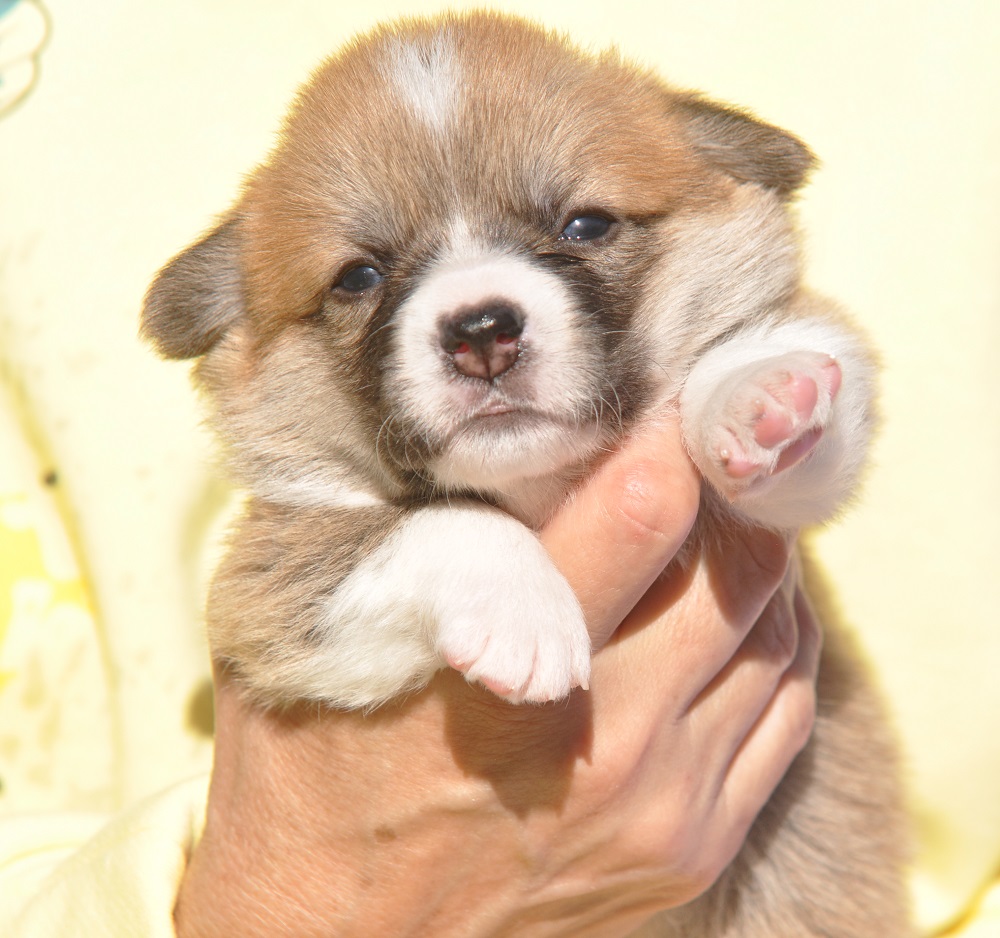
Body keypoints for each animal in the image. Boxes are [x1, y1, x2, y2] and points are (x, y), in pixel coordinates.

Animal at [141, 11, 916, 932]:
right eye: (360, 275)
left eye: (585, 225)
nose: (482, 330)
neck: (541, 488)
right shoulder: (266, 588)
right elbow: (440, 522)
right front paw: (525, 615)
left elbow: (781, 371)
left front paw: (755, 399)